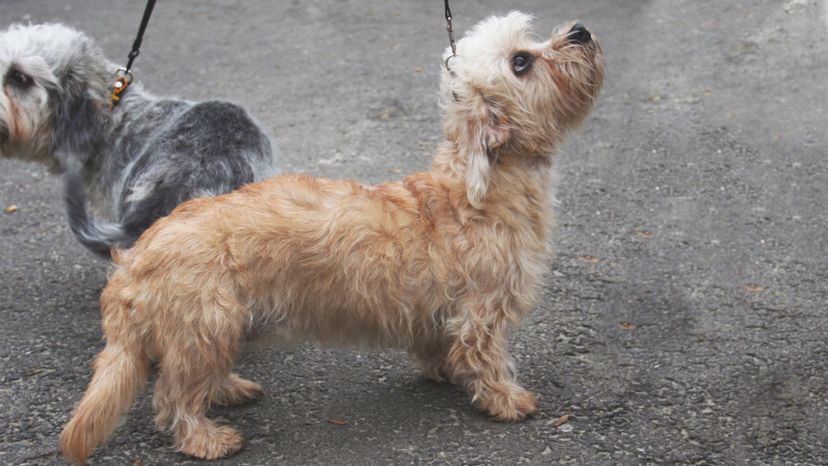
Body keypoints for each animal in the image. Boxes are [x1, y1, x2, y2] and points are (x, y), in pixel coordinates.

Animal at [58, 10, 600, 462]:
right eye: (522, 62)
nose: (580, 31)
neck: (474, 192)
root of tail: (132, 262)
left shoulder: (441, 311)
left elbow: (439, 346)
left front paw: (444, 370)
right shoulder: (483, 312)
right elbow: (487, 358)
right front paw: (506, 399)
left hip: (210, 332)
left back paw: (229, 388)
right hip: (207, 325)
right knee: (172, 397)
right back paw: (206, 439)